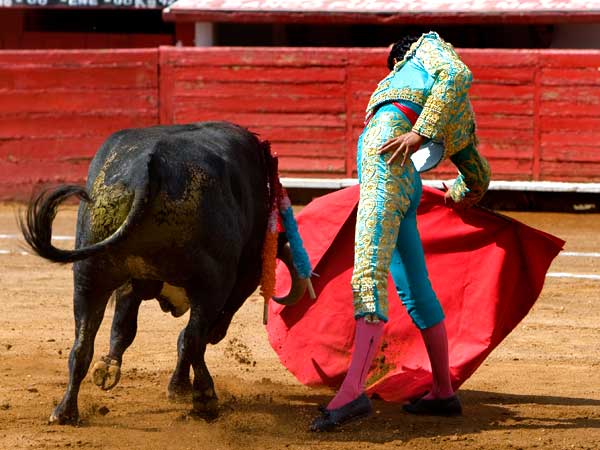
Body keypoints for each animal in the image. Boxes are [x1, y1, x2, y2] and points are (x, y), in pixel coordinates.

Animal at [19, 121, 308, 425]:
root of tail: (147, 167)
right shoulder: (238, 278)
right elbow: (190, 336)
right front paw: (182, 388)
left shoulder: (131, 281)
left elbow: (123, 328)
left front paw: (110, 368)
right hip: (211, 283)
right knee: (193, 338)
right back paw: (205, 398)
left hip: (89, 274)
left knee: (81, 344)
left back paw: (65, 411)